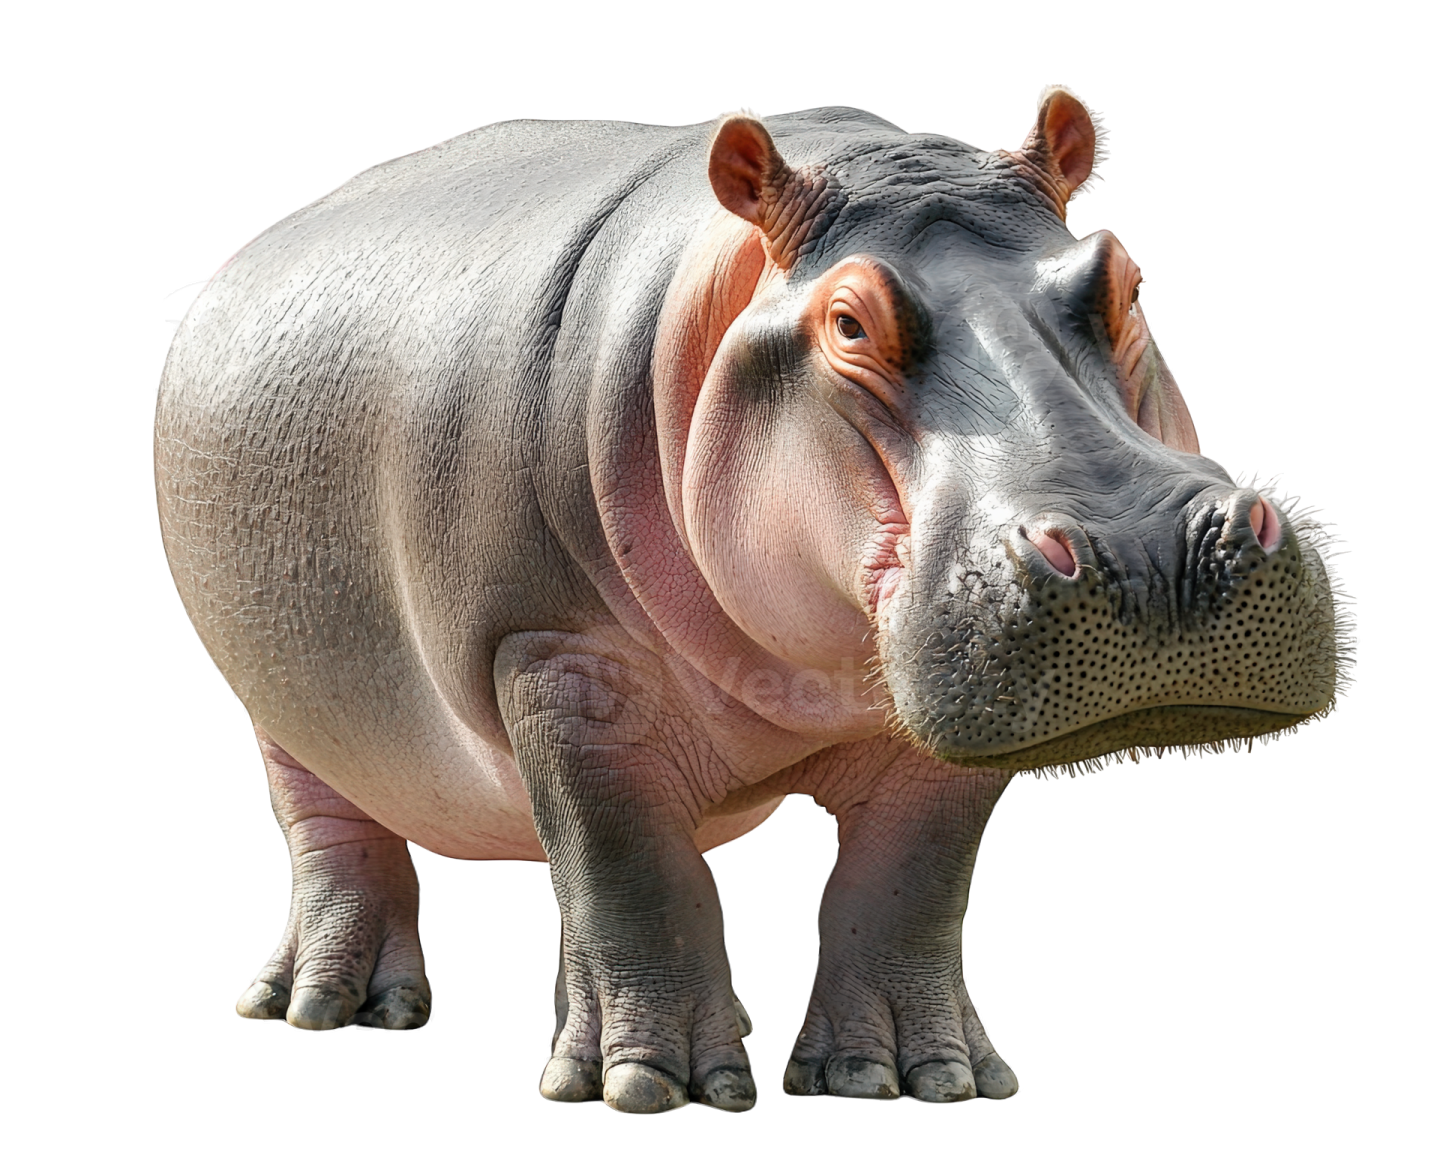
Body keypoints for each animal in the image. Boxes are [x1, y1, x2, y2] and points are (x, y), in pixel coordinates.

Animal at [153, 86, 1354, 1114]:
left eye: (1124, 282)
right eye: (848, 322)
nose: (1149, 552)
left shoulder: (945, 720)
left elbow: (905, 886)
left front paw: (911, 1077)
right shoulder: (555, 661)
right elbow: (631, 874)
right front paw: (656, 1086)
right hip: (283, 700)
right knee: (331, 829)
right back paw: (334, 1008)